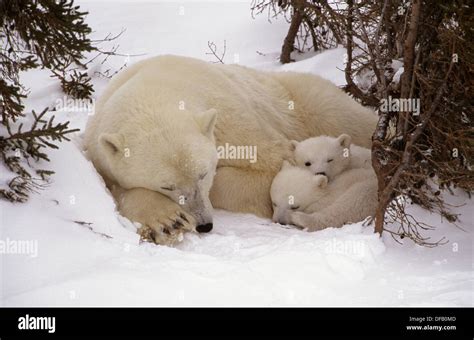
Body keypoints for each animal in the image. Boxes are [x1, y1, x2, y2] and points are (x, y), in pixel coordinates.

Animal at [82, 54, 378, 243]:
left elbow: (271, 163)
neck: (159, 85)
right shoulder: (95, 147)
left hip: (301, 99)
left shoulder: (230, 117)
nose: (204, 224)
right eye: (167, 186)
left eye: (203, 174)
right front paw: (166, 222)